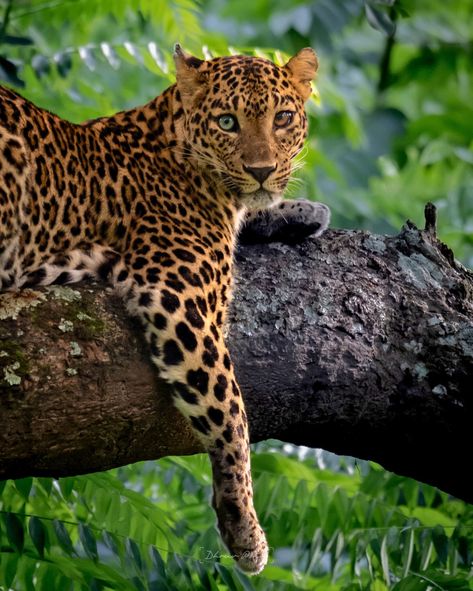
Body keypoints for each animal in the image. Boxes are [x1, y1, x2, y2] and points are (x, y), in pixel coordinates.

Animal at [0, 45, 330, 572]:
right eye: (227, 121)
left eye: (281, 118)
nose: (260, 169)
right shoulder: (179, 298)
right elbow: (231, 411)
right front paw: (245, 529)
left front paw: (299, 211)